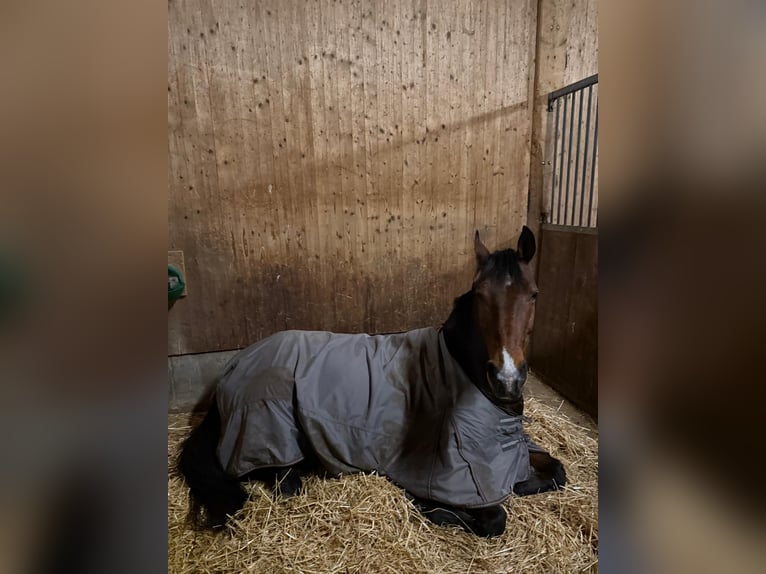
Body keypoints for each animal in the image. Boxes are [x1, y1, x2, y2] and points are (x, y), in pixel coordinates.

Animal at [179, 226, 566, 538]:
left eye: (533, 294)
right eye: (480, 294)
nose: (507, 378)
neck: (459, 366)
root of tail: (234, 369)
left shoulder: (515, 449)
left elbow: (558, 471)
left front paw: (526, 480)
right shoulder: (454, 476)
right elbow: (494, 518)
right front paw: (433, 508)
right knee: (284, 482)